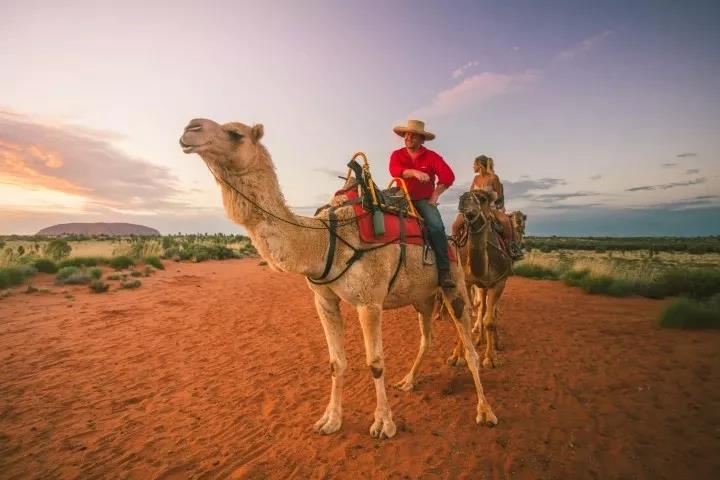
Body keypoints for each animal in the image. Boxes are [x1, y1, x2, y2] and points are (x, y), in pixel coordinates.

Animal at [179, 117, 500, 438]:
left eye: (235, 133)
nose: (190, 128)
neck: (325, 239)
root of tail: (452, 243)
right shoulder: (324, 300)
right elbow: (336, 362)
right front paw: (330, 420)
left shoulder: (369, 302)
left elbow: (375, 363)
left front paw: (383, 424)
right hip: (422, 297)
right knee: (426, 338)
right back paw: (409, 381)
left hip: (455, 284)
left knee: (468, 346)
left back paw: (485, 411)